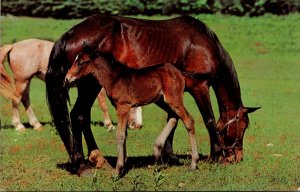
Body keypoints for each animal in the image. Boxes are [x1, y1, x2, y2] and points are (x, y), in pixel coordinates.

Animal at [0, 39, 142, 132]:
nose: (139, 126)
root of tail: (13, 46)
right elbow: (103, 105)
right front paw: (109, 125)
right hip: (22, 81)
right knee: (15, 99)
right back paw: (19, 126)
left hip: (26, 81)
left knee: (25, 99)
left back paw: (36, 124)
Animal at [63, 51, 199, 175]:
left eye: (81, 62)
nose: (67, 79)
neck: (114, 78)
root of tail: (179, 72)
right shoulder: (122, 107)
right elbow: (125, 133)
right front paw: (124, 163)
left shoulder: (123, 106)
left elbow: (120, 135)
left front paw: (118, 169)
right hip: (162, 101)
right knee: (174, 117)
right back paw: (157, 151)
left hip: (173, 99)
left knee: (188, 120)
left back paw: (193, 163)